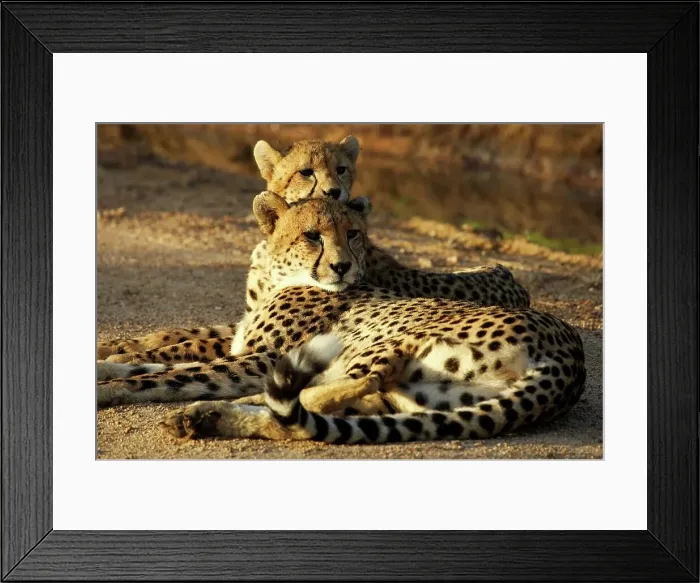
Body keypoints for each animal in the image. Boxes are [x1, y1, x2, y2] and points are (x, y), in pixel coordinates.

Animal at [97, 135, 530, 366]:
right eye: (306, 171)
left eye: (342, 169)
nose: (334, 191)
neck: (275, 257)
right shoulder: (247, 319)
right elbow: (184, 330)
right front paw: (122, 345)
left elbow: (195, 342)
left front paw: (125, 357)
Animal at [98, 193, 586, 444]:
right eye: (313, 235)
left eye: (353, 234)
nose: (342, 267)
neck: (280, 273)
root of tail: (570, 360)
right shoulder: (243, 344)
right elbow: (164, 356)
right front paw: (109, 358)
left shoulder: (265, 357)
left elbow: (175, 372)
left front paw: (106, 388)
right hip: (427, 396)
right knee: (332, 414)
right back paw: (206, 416)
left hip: (385, 342)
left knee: (335, 392)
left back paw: (216, 409)